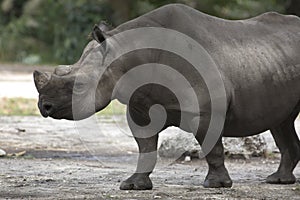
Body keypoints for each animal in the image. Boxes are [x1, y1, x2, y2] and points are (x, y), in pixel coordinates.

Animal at [33, 3, 300, 190]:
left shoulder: (205, 109)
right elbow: (145, 147)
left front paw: (216, 185)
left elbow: (212, 147)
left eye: (79, 87)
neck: (126, 56)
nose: (44, 107)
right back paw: (278, 180)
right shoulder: (139, 106)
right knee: (282, 122)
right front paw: (134, 185)